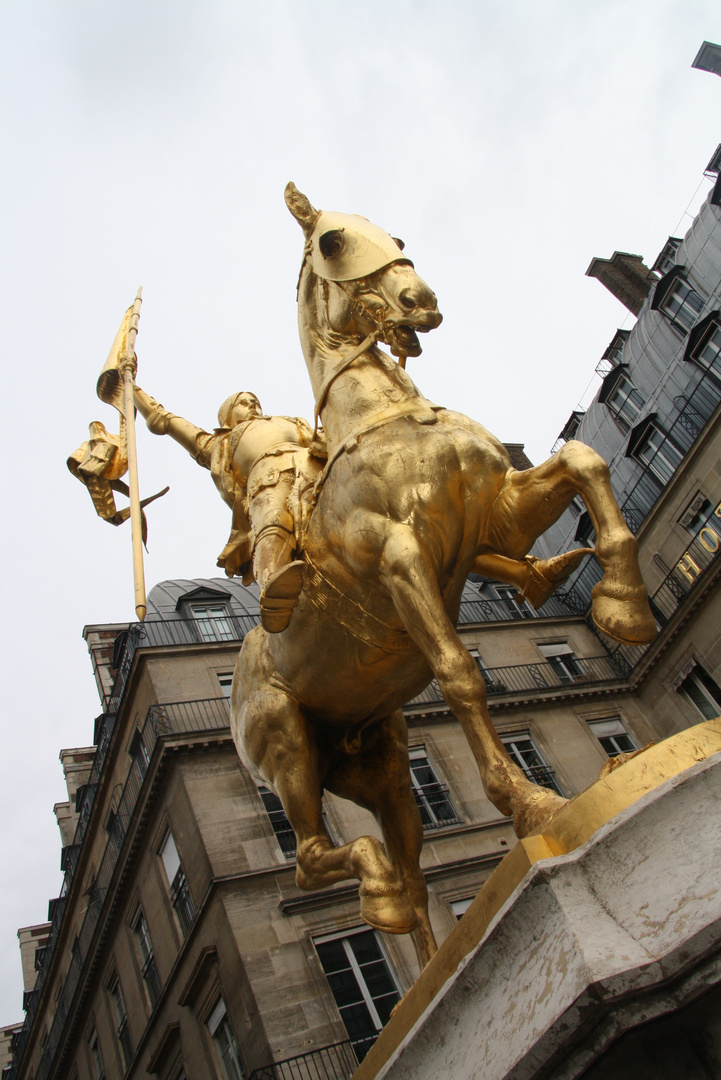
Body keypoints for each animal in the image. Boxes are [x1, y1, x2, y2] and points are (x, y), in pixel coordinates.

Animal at [229, 181, 651, 967]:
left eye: (394, 234)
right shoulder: (400, 560)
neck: (389, 416)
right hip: (287, 748)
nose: (419, 299)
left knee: (412, 872)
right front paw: (535, 806)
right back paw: (375, 894)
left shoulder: (499, 518)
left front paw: (622, 606)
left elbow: (585, 460)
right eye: (333, 241)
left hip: (384, 770)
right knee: (309, 856)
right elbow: (459, 674)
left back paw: (425, 963)